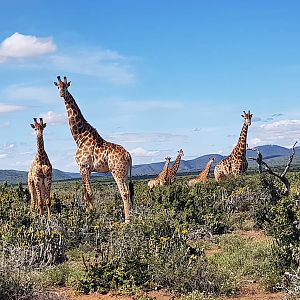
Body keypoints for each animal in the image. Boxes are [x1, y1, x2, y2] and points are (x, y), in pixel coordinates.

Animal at [54, 76, 134, 223]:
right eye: (58, 86)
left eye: (66, 86)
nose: (61, 93)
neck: (79, 137)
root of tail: (128, 155)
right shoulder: (88, 169)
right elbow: (86, 193)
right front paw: (89, 213)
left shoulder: (83, 166)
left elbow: (89, 193)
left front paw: (91, 215)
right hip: (125, 173)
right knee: (129, 192)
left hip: (117, 171)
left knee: (124, 192)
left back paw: (127, 221)